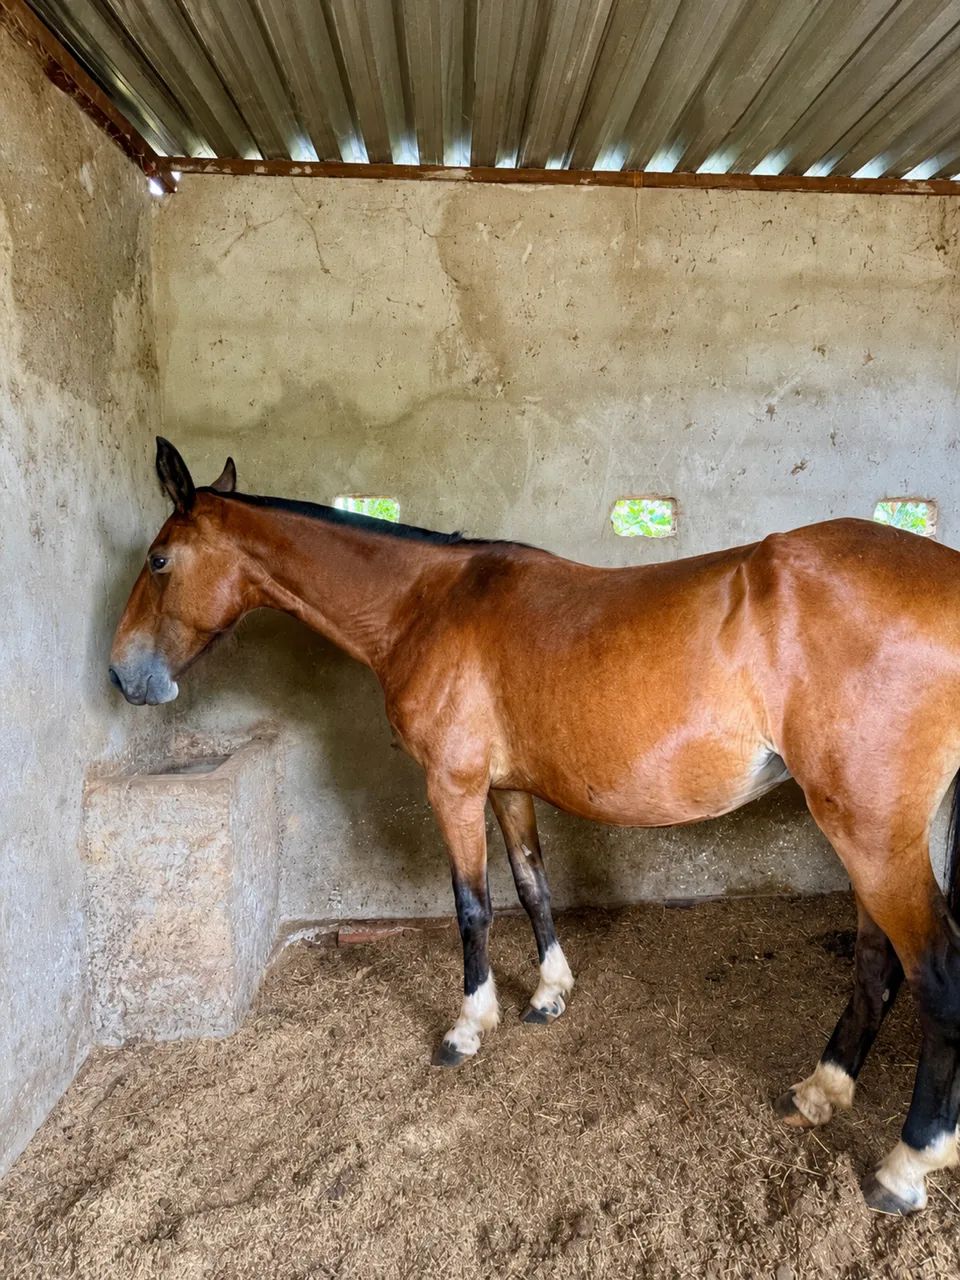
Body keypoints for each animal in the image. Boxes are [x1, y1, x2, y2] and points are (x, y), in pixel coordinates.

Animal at [110, 438, 960, 1215]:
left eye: (158, 559)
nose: (123, 675)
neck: (426, 605)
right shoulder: (507, 789)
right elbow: (530, 883)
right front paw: (550, 992)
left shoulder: (451, 787)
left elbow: (473, 905)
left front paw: (467, 1026)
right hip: (864, 834)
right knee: (875, 963)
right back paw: (820, 1091)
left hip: (870, 833)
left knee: (934, 973)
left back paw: (907, 1164)